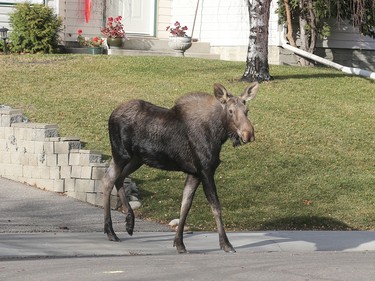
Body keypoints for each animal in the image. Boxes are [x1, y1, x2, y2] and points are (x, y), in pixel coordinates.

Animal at [103, 82, 262, 253]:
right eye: (231, 111)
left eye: (247, 110)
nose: (248, 134)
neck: (218, 135)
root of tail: (112, 114)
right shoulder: (205, 170)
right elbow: (216, 207)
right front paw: (226, 244)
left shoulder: (194, 173)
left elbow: (185, 205)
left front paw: (179, 243)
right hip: (121, 154)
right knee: (108, 180)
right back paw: (110, 231)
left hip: (136, 159)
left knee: (119, 178)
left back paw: (129, 222)